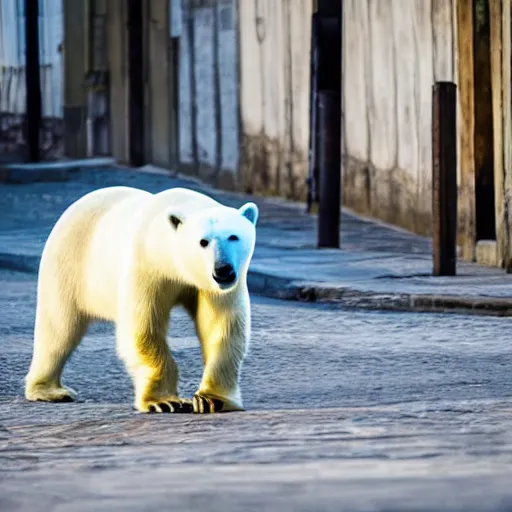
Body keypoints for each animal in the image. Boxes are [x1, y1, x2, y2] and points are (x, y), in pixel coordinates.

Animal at [23, 186, 258, 414]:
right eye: (203, 242)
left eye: (233, 237)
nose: (223, 269)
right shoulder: (146, 267)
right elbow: (144, 327)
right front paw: (166, 402)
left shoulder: (215, 287)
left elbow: (222, 327)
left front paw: (211, 400)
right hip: (69, 264)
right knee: (59, 329)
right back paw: (49, 391)